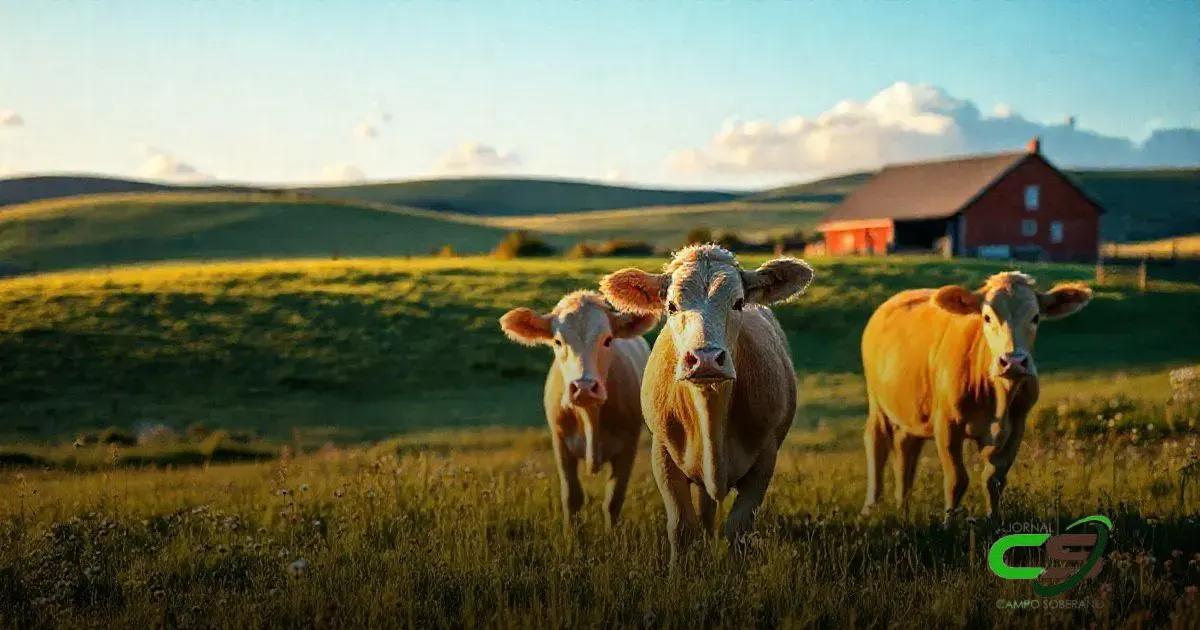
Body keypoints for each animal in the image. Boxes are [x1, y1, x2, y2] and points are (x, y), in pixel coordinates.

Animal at [499, 290, 657, 530]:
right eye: (557, 341)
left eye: (608, 340)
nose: (583, 387)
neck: (590, 417)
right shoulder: (561, 443)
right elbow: (572, 498)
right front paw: (571, 536)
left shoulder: (628, 445)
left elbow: (613, 501)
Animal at [600, 244, 816, 559]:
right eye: (672, 306)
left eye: (738, 302)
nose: (705, 359)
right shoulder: (662, 454)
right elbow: (682, 527)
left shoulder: (765, 458)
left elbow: (738, 527)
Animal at [859, 270, 1094, 520]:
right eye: (987, 317)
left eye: (1036, 317)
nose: (1013, 362)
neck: (998, 398)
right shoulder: (947, 425)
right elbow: (956, 480)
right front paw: (948, 524)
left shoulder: (1016, 426)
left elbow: (994, 480)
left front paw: (992, 522)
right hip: (877, 401)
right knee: (876, 441)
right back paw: (869, 509)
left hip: (911, 412)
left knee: (906, 450)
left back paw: (902, 509)